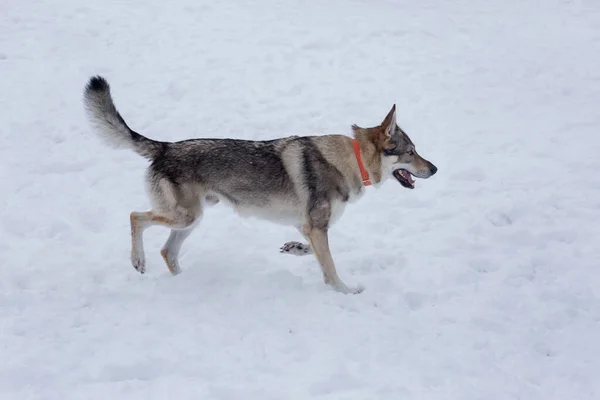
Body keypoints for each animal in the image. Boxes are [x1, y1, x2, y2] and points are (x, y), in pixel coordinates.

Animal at [83, 76, 436, 294]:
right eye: (411, 152)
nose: (434, 168)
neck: (351, 160)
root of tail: (165, 147)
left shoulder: (308, 226)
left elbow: (311, 251)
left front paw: (294, 249)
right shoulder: (316, 226)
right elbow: (331, 268)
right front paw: (346, 292)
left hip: (193, 219)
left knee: (167, 251)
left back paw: (185, 282)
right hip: (185, 216)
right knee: (135, 217)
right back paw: (138, 261)